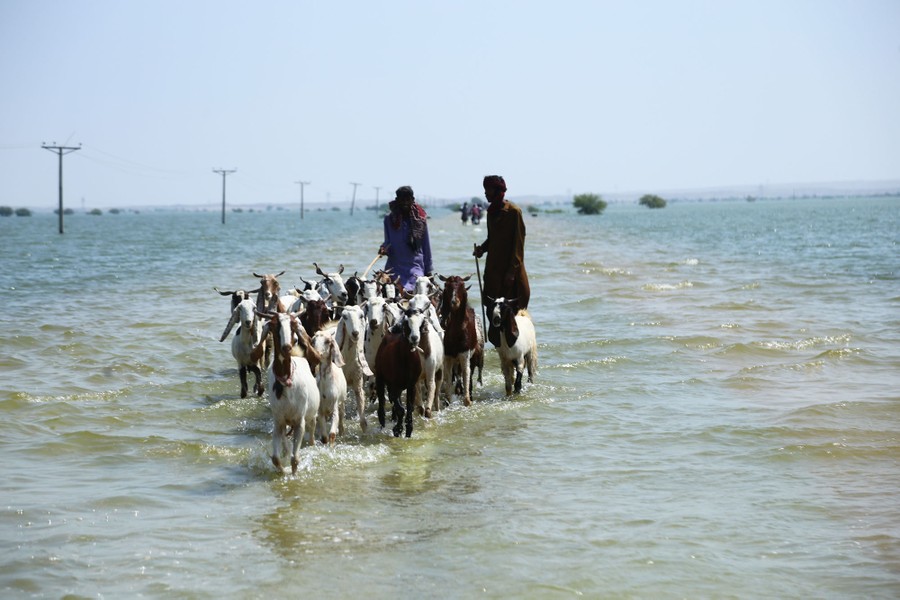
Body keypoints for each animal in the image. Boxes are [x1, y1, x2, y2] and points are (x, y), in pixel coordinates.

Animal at [257, 311, 320, 474]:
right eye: (274, 326)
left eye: (293, 326)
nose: (286, 347)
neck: (286, 383)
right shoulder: (278, 421)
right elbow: (275, 458)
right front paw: (283, 472)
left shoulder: (300, 421)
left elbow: (295, 459)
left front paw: (293, 474)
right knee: (285, 443)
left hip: (312, 416)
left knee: (312, 433)